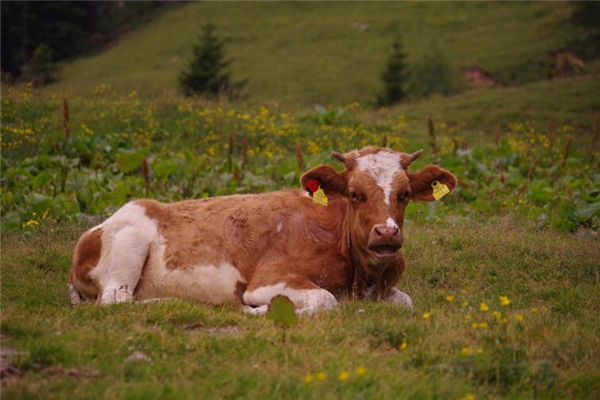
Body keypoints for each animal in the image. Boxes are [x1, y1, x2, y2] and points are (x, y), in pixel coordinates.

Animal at [69, 145, 454, 314]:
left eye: (404, 195)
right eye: (355, 194)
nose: (386, 234)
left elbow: (406, 302)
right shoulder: (269, 280)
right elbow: (325, 299)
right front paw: (257, 310)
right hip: (129, 241)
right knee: (115, 299)